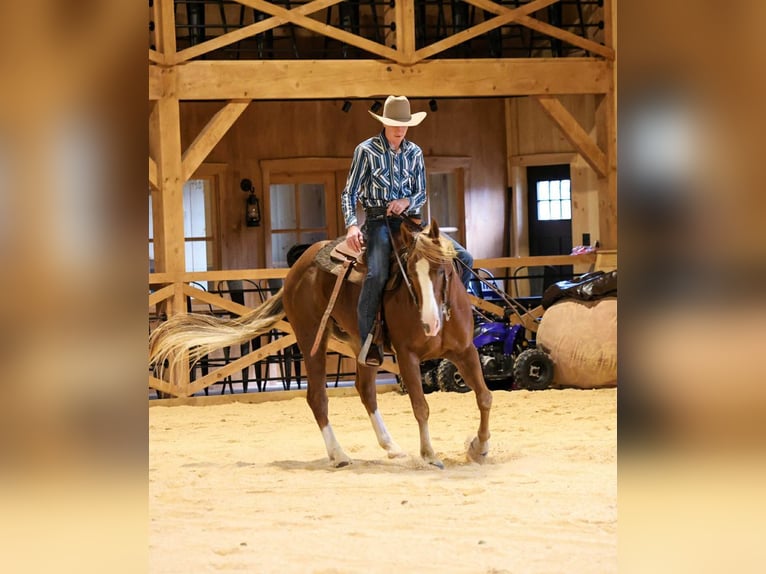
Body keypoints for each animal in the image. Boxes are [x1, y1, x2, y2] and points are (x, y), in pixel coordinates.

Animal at [150, 219, 492, 468]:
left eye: (442, 271)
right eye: (409, 272)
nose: (430, 324)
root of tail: (295, 272)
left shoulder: (465, 351)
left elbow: (484, 397)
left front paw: (480, 447)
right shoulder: (407, 357)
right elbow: (421, 406)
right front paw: (430, 455)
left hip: (361, 345)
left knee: (366, 391)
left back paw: (392, 447)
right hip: (310, 336)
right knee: (317, 397)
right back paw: (339, 455)